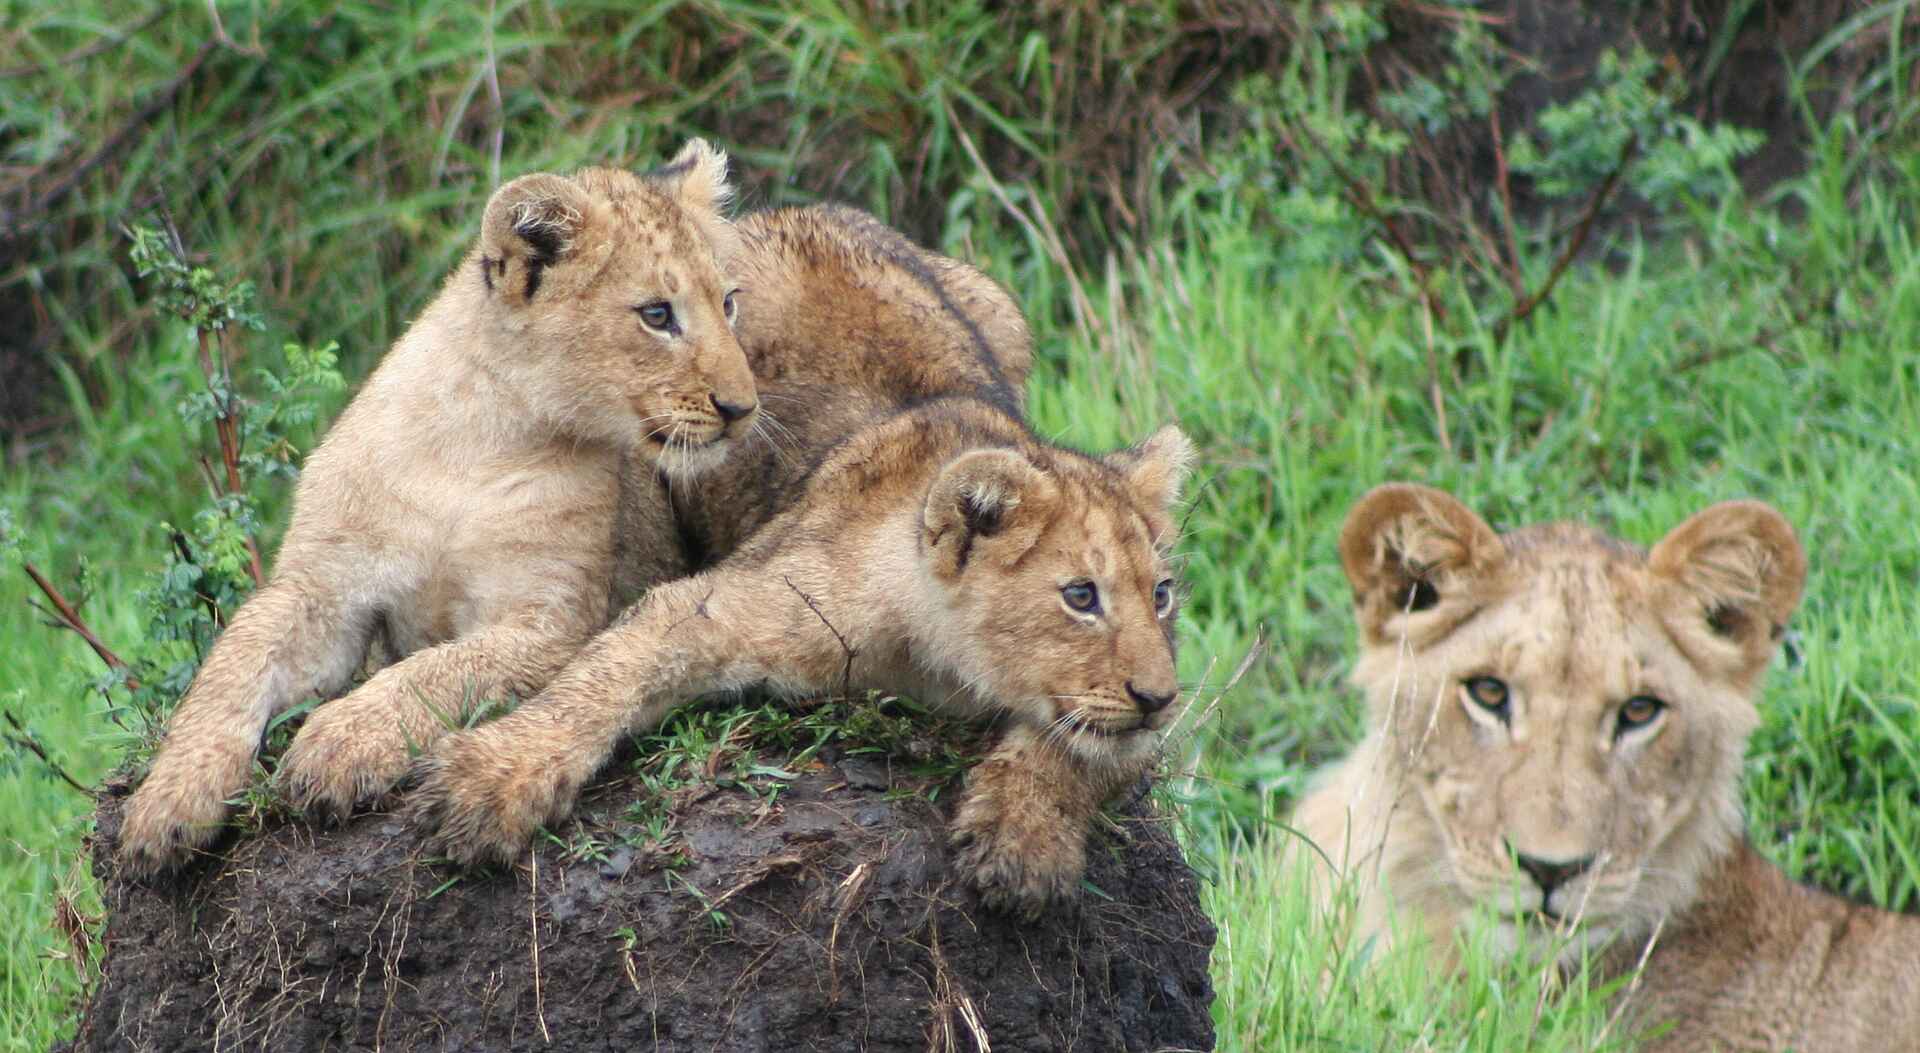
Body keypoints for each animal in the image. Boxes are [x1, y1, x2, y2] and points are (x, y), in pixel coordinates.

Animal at [118, 140, 760, 877]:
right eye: (657, 315)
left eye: (729, 302)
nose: (743, 407)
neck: (475, 441)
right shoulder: (324, 588)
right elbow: (231, 662)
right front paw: (166, 803)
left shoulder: (553, 623)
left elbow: (438, 671)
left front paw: (337, 745)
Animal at [413, 204, 1193, 917]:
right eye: (1080, 596)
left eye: (1161, 596)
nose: (1158, 697)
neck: (938, 664)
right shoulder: (735, 600)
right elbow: (601, 680)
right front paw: (490, 780)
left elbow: (1081, 751)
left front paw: (1023, 840)